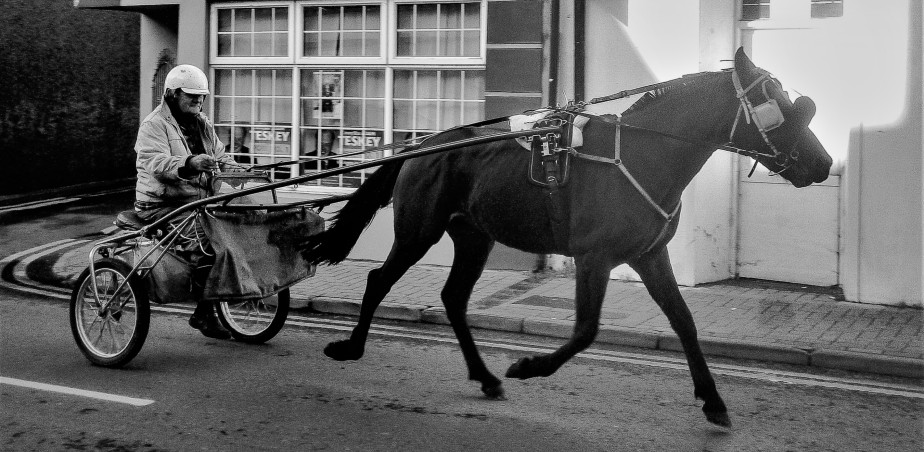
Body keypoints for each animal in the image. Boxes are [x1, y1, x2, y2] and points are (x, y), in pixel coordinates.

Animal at [300, 49, 832, 428]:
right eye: (776, 102)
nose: (824, 163)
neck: (644, 152)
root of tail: (426, 144)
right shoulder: (595, 258)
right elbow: (585, 331)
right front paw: (529, 366)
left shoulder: (649, 255)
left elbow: (684, 322)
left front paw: (712, 398)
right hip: (418, 231)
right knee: (379, 280)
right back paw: (352, 347)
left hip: (474, 236)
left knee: (453, 297)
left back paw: (484, 376)